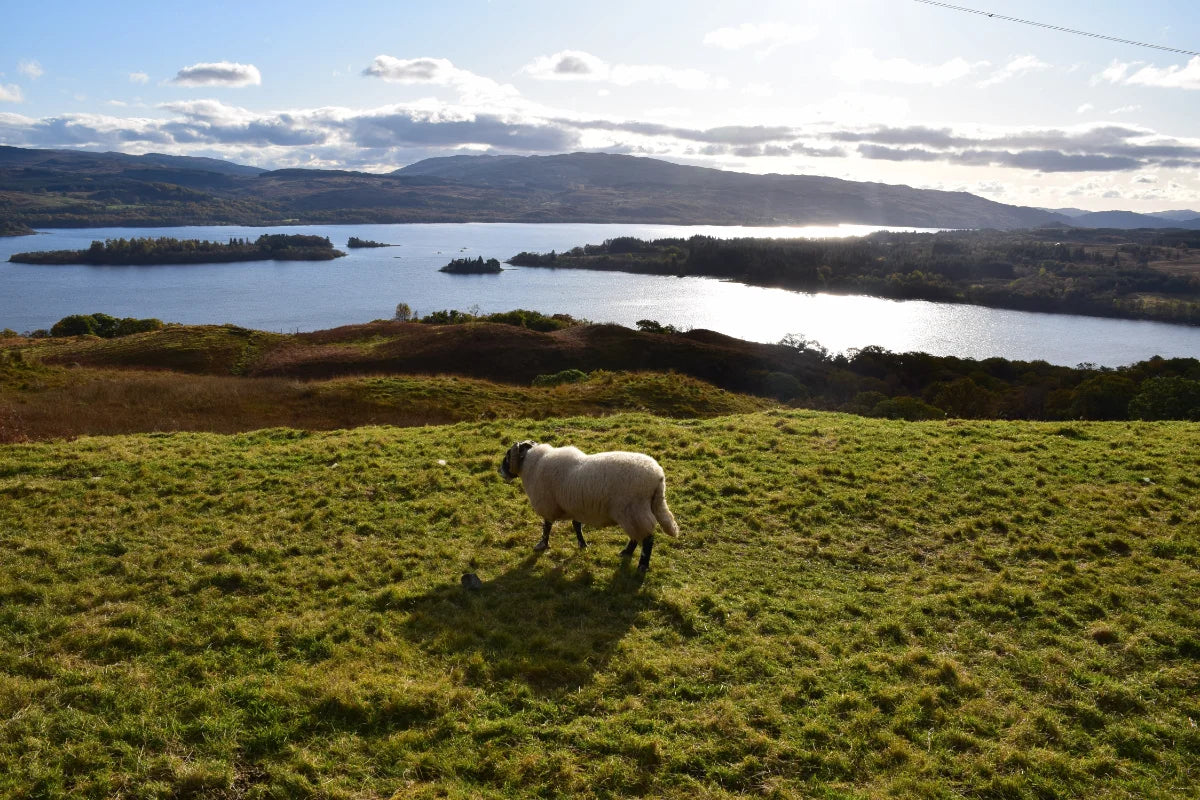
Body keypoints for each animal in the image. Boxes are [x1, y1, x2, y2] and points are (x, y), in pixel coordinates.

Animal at [499, 440, 679, 572]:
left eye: (507, 456)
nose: (499, 471)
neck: (534, 464)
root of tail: (658, 476)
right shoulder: (575, 507)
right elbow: (576, 525)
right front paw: (582, 544)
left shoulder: (548, 505)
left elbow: (547, 527)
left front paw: (542, 545)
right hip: (638, 510)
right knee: (637, 536)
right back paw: (626, 553)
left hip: (633, 510)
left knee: (647, 539)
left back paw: (642, 566)